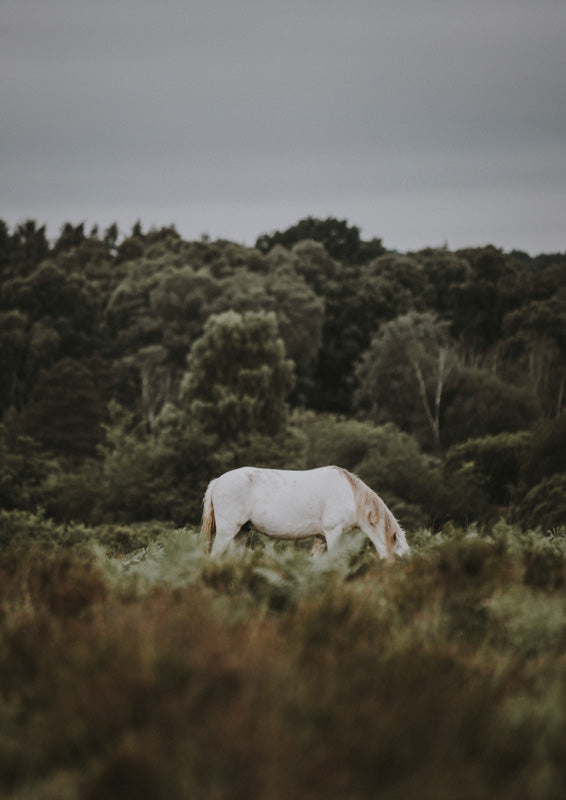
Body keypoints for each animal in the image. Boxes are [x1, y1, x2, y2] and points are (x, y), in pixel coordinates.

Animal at [201, 466, 409, 560]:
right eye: (401, 558)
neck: (349, 495)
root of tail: (217, 481)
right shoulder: (333, 533)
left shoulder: (321, 537)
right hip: (227, 531)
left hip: (241, 533)